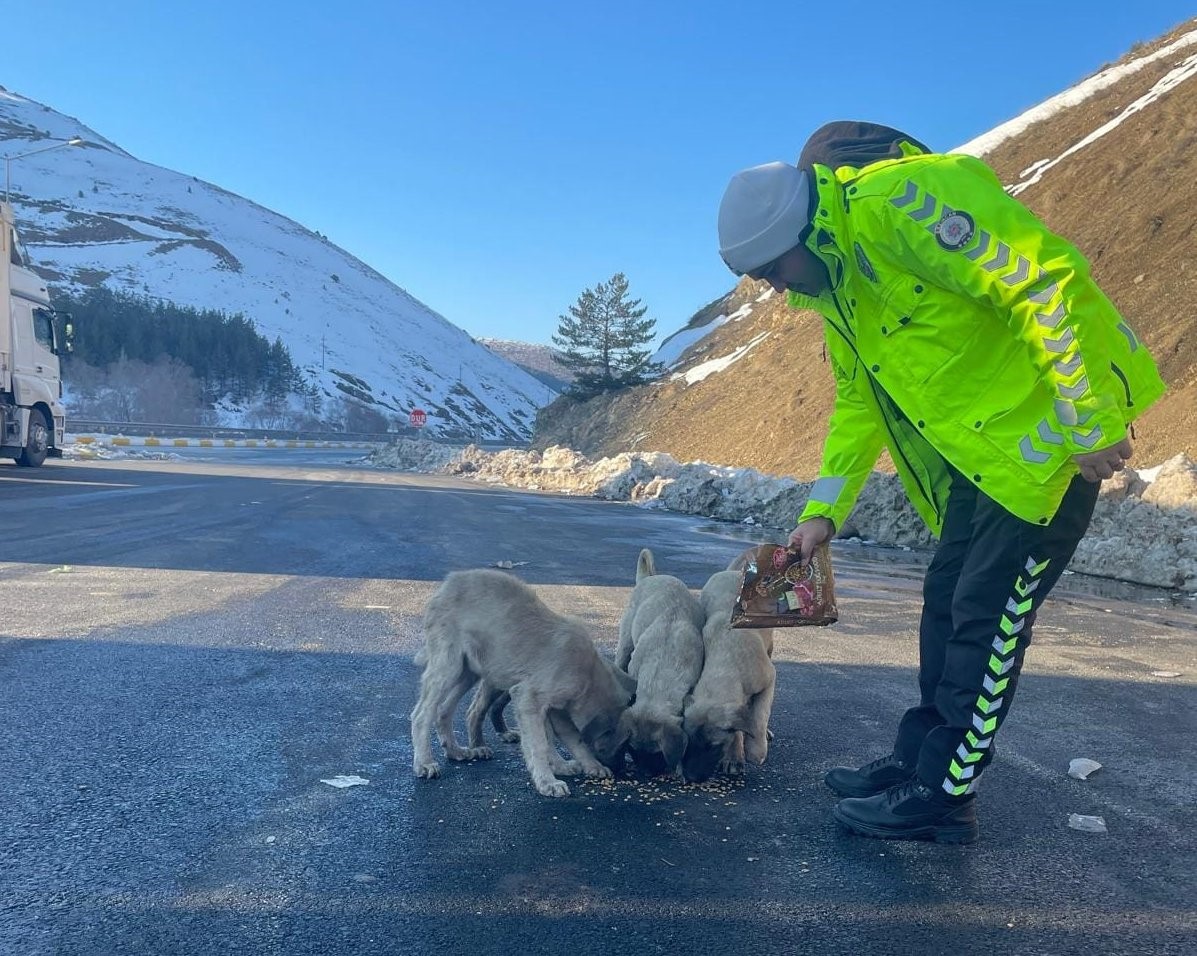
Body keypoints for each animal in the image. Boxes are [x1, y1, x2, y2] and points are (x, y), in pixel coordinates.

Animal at [411, 569, 636, 799]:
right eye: (622, 747)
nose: (622, 770)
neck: (588, 675)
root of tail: (449, 582)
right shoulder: (529, 699)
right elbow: (539, 743)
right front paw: (548, 781)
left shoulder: (554, 709)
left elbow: (566, 739)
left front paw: (576, 766)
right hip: (448, 665)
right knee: (421, 714)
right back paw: (424, 763)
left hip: (469, 671)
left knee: (444, 709)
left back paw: (456, 751)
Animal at [679, 564, 780, 780]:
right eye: (687, 742)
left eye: (713, 746)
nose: (690, 777)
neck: (724, 666)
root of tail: (733, 571)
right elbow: (738, 729)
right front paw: (734, 756)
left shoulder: (769, 679)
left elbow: (760, 716)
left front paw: (755, 750)